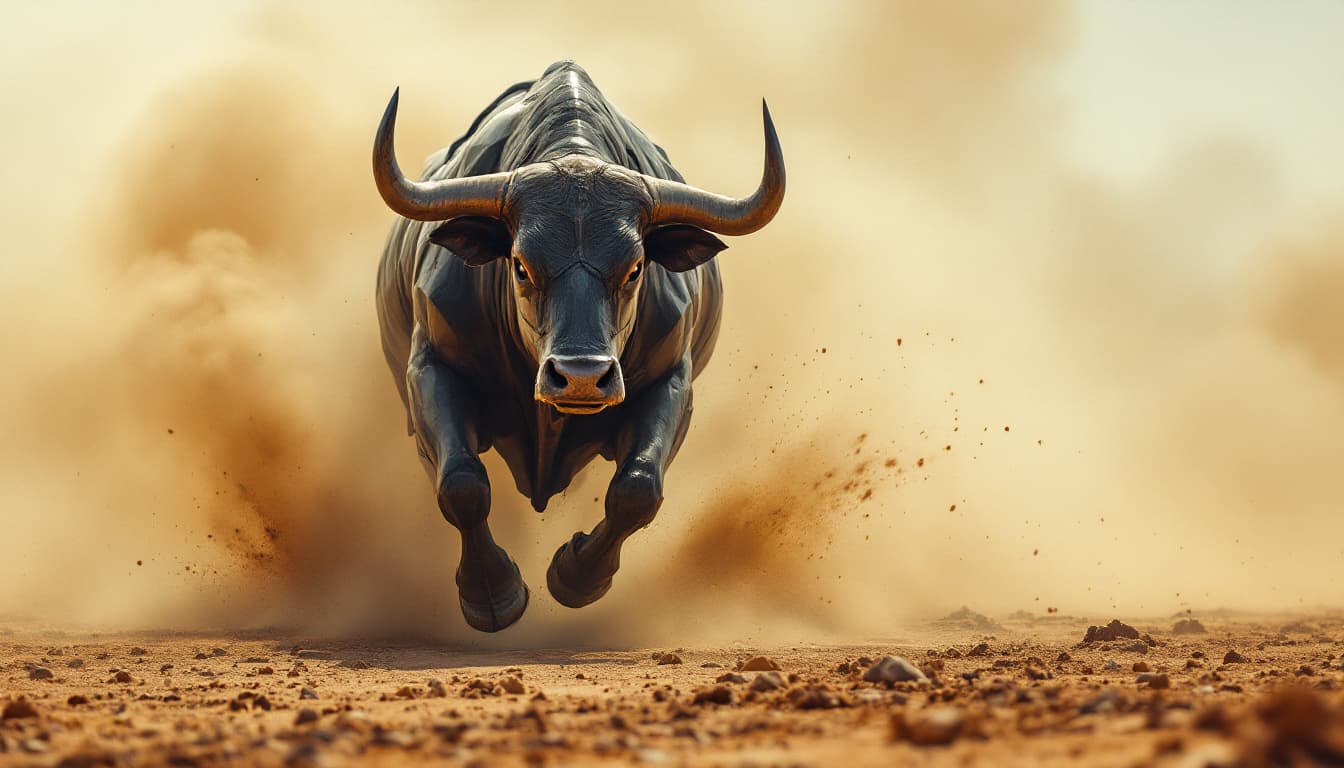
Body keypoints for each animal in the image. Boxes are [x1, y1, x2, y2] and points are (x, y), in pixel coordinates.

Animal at [372, 61, 784, 632]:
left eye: (635, 267)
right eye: (521, 264)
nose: (582, 377)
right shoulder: (430, 370)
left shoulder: (671, 384)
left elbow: (638, 490)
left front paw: (575, 578)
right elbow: (462, 485)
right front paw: (494, 596)